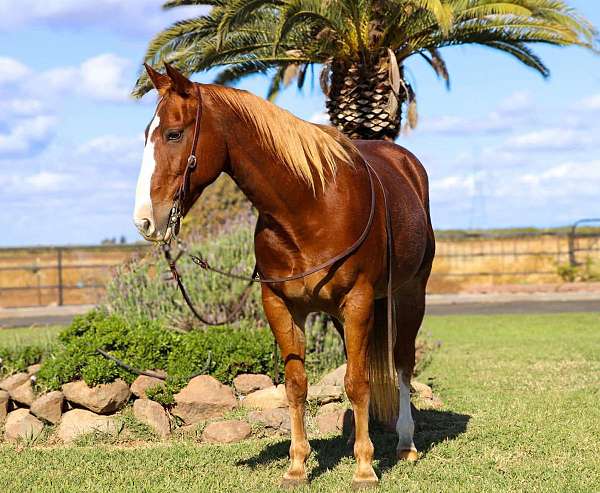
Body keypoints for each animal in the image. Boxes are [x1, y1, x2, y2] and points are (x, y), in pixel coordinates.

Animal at [134, 63, 434, 486]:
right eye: (147, 134)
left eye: (173, 133)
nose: (145, 219)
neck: (309, 205)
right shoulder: (280, 305)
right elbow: (297, 385)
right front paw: (297, 466)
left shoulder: (358, 300)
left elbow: (358, 382)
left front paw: (364, 469)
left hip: (409, 295)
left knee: (403, 363)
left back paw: (405, 444)